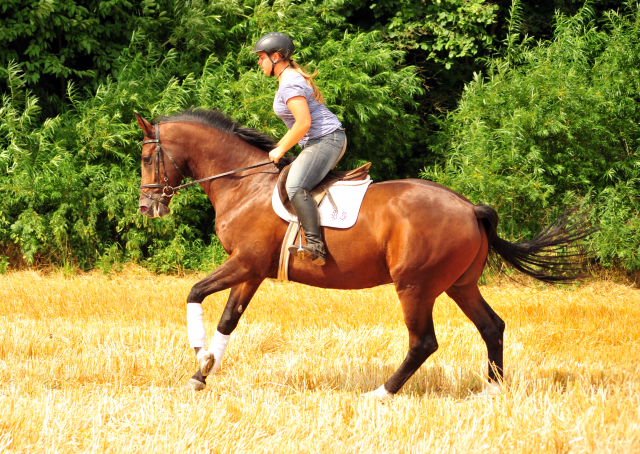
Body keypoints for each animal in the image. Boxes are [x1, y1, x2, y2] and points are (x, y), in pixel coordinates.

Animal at [134, 108, 592, 400]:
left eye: (145, 156)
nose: (146, 207)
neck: (244, 184)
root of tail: (469, 207)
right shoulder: (252, 270)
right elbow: (228, 319)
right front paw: (201, 374)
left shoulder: (244, 263)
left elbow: (194, 292)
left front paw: (200, 355)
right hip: (459, 285)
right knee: (491, 326)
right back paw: (492, 390)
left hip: (415, 286)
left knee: (423, 342)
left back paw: (381, 393)